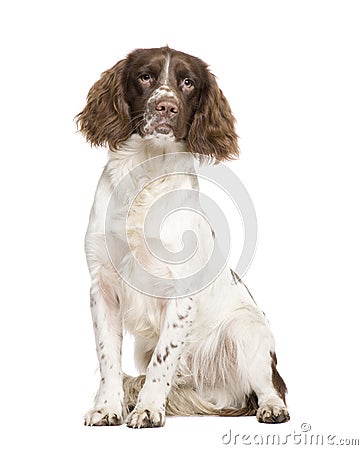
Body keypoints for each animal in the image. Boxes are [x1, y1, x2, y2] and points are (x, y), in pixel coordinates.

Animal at [77, 46, 290, 428]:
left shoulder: (180, 293)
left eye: (188, 82)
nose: (166, 106)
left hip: (246, 329)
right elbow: (108, 359)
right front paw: (108, 408)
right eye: (145, 76)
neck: (147, 175)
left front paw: (147, 409)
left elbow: (163, 360)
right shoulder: (102, 288)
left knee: (272, 385)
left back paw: (271, 408)